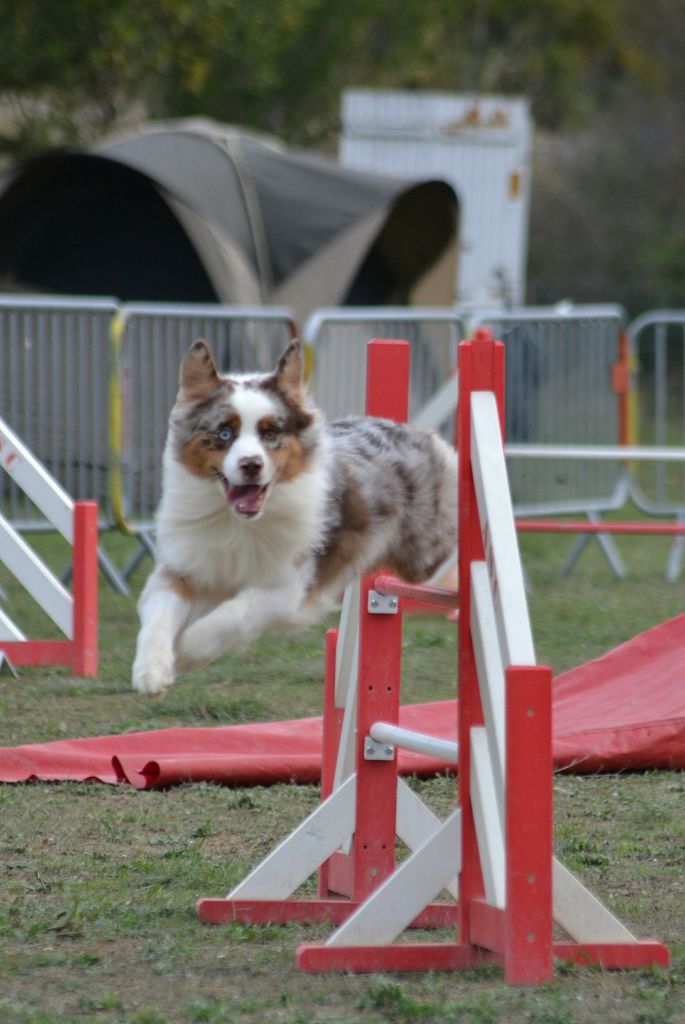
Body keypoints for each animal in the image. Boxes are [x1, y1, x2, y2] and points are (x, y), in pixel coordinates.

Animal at [131, 339, 456, 700]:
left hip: (423, 555)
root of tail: (415, 432)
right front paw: (152, 671)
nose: (251, 465)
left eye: (271, 432)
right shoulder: (183, 568)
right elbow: (158, 617)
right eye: (225, 432)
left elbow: (235, 613)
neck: (238, 523)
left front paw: (187, 651)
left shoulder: (287, 586)